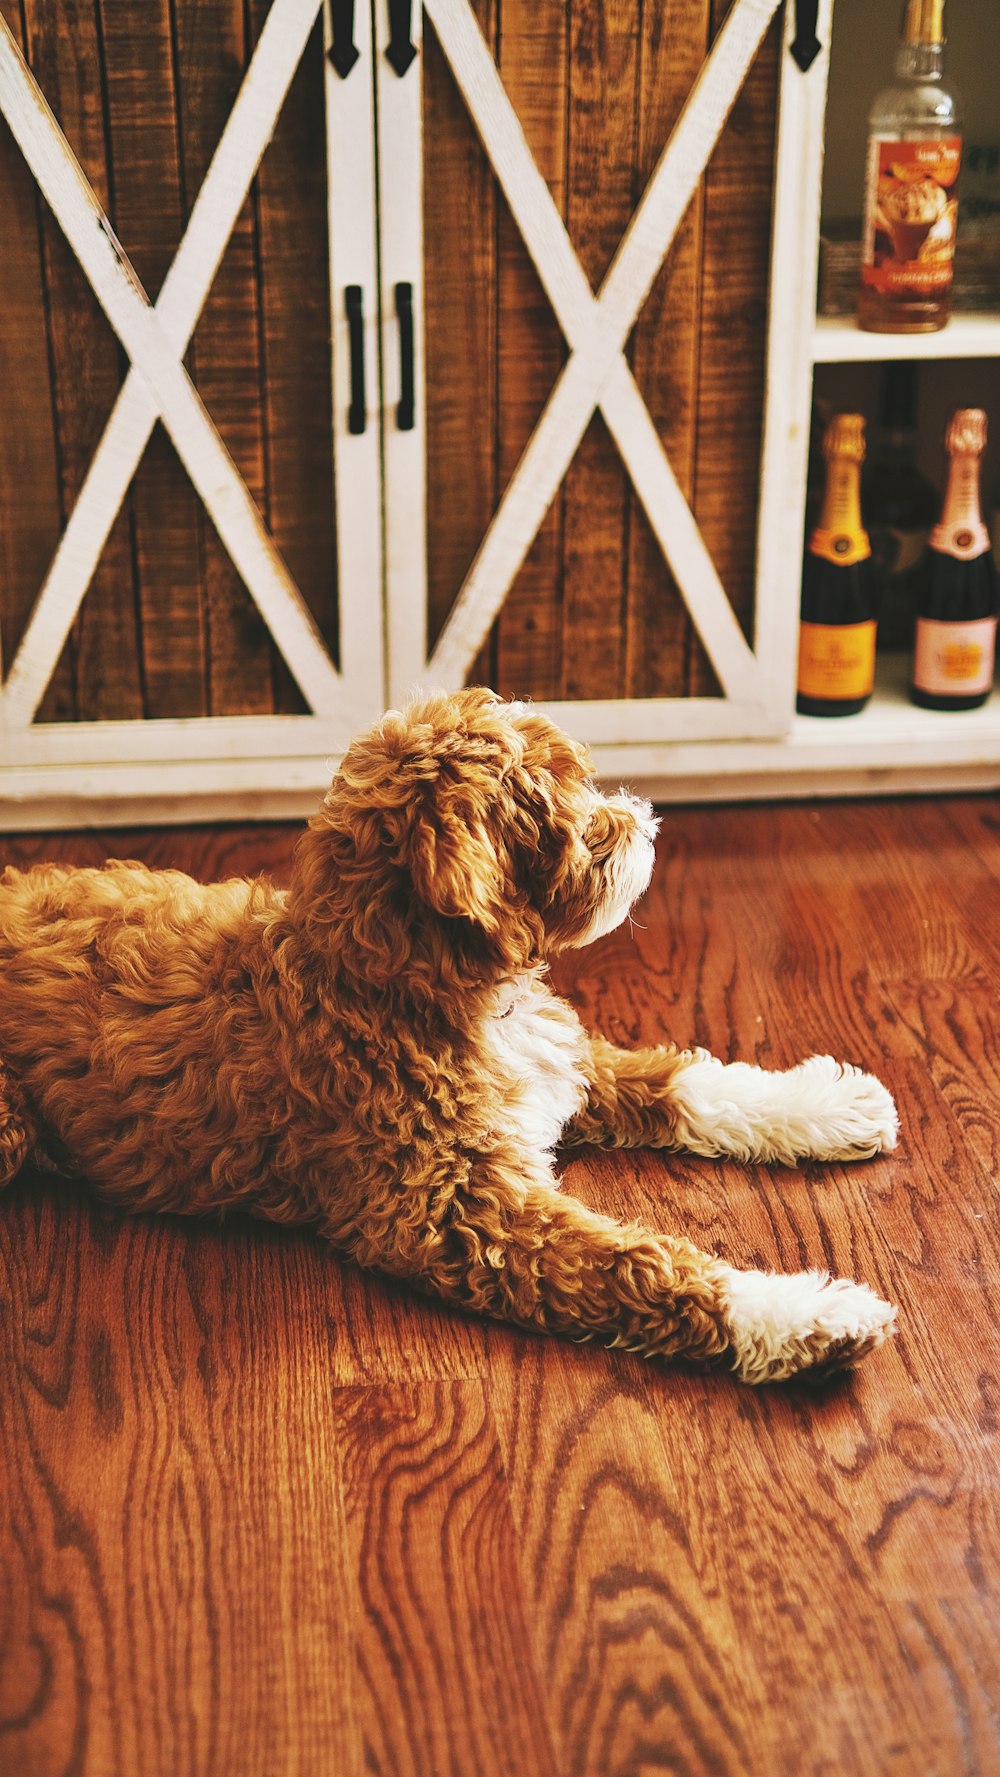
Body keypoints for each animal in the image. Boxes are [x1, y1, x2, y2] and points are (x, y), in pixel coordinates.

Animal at [0, 685, 898, 1378]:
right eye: (564, 807)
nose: (646, 820)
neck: (392, 987)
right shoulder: (459, 1215)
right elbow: (642, 1266)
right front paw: (805, 1316)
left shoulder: (565, 1060)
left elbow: (685, 1078)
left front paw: (827, 1107)